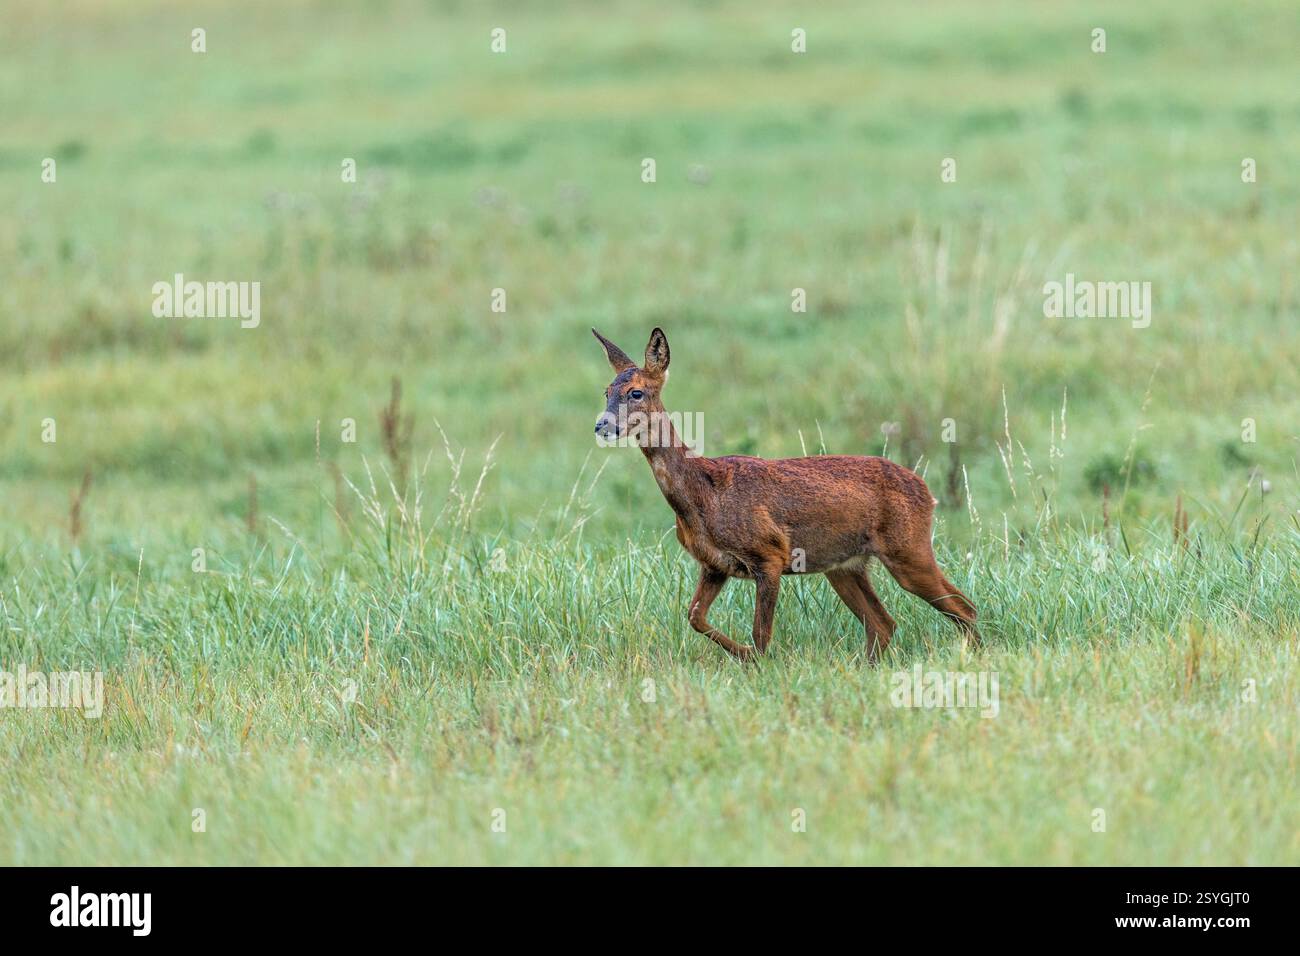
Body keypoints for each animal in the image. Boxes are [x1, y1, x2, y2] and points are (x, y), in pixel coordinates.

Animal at [592, 327, 979, 663]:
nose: (601, 425)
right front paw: (743, 657)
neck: (701, 494)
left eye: (636, 392)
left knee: (963, 607)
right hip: (845, 566)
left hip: (907, 548)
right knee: (884, 623)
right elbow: (695, 616)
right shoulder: (714, 565)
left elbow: (760, 634)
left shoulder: (770, 554)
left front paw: (754, 661)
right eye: (606, 391)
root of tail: (927, 492)